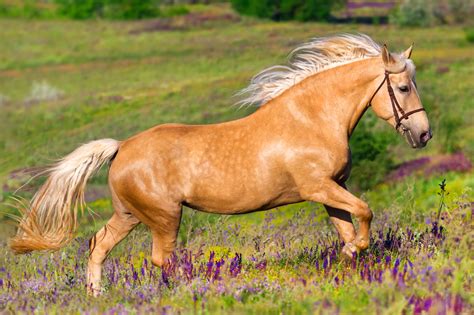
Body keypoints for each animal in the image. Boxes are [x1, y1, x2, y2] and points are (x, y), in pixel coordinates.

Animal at [12, 34, 434, 296]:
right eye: (402, 88)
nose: (424, 134)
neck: (312, 118)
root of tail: (122, 148)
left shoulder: (332, 190)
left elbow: (349, 227)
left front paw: (346, 264)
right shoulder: (318, 187)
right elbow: (364, 213)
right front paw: (352, 254)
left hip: (130, 214)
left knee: (98, 245)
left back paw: (97, 295)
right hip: (165, 215)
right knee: (161, 258)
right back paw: (182, 292)